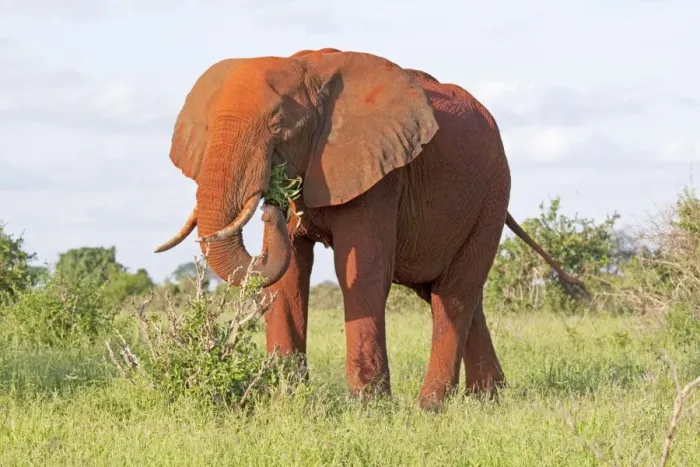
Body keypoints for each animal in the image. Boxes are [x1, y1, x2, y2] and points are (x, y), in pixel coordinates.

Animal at [153, 47, 585, 410]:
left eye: (278, 125)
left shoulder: (381, 174)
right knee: (456, 293)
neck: (306, 67)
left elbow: (360, 275)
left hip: (492, 194)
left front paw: (368, 407)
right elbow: (289, 275)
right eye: (207, 128)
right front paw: (287, 399)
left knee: (455, 295)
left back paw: (430, 407)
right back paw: (487, 400)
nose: (269, 206)